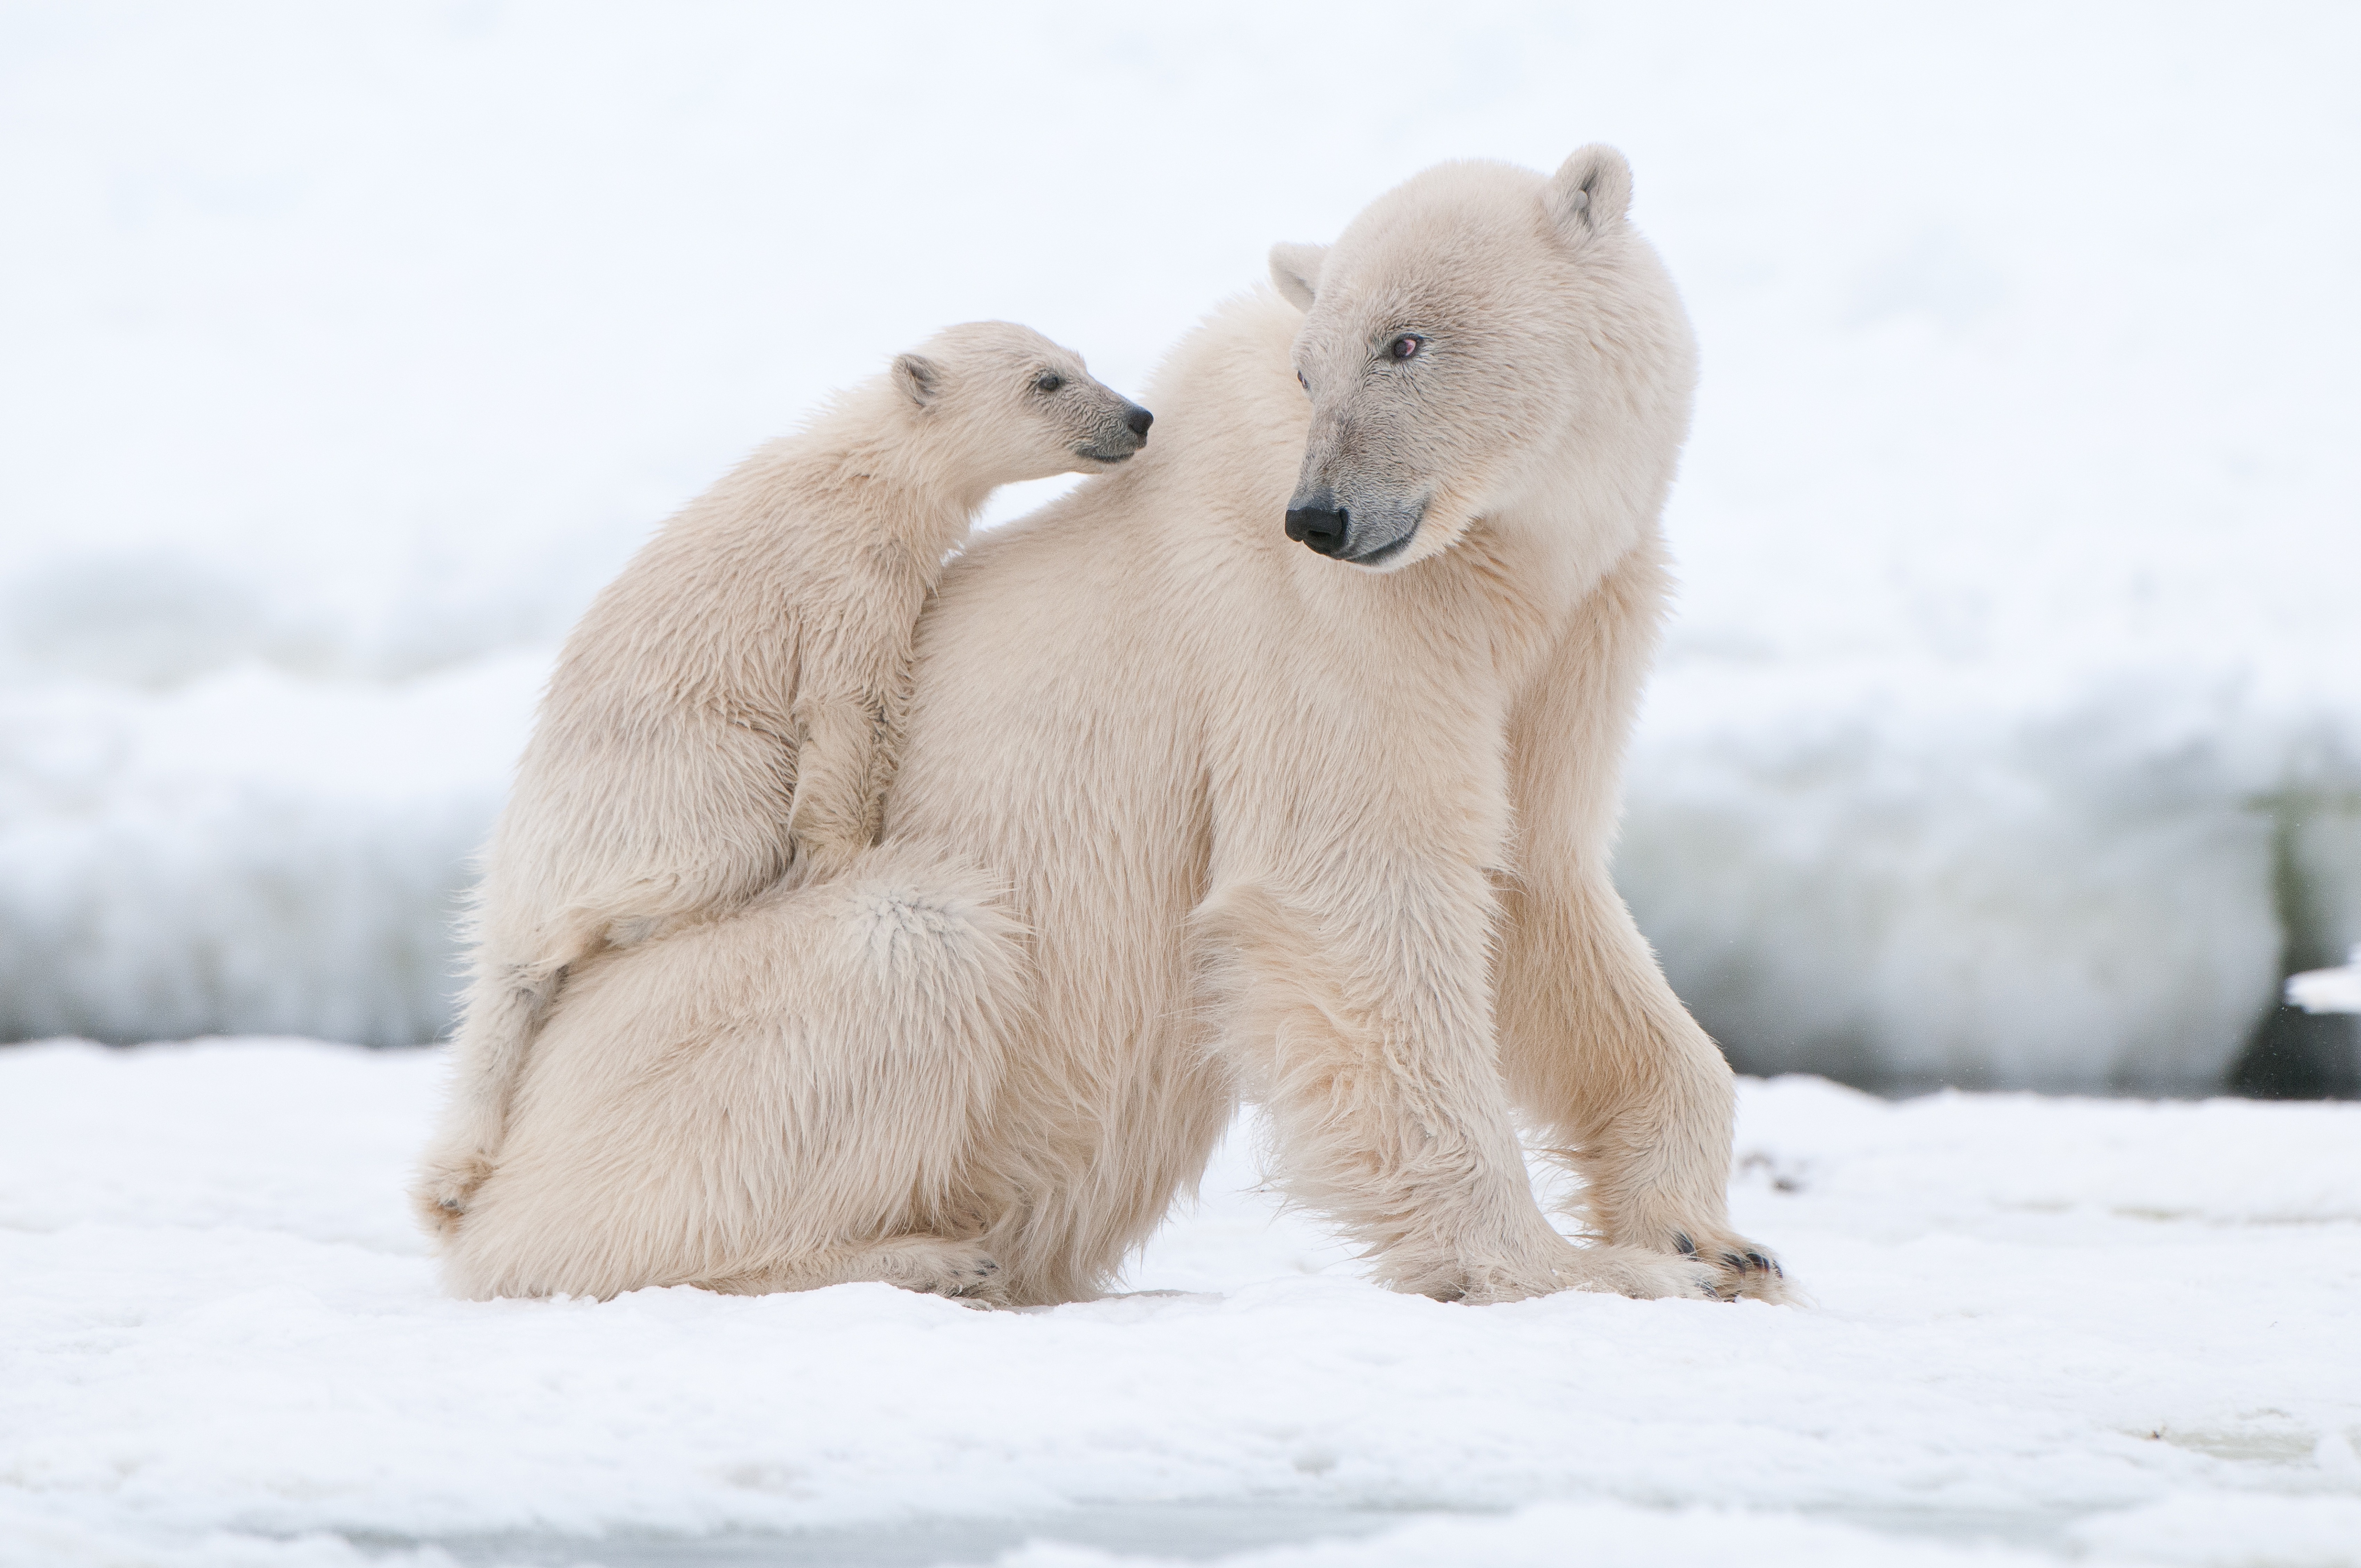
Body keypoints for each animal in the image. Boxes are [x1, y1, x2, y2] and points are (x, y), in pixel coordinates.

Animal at [413, 328, 1152, 1237]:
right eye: (1046, 381)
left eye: (1080, 362)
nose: (1138, 416)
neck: (867, 470)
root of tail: (515, 880)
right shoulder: (845, 576)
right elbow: (849, 703)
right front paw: (846, 855)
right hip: (679, 783)